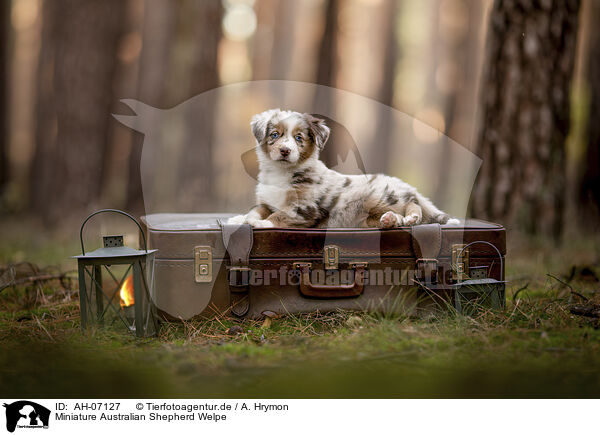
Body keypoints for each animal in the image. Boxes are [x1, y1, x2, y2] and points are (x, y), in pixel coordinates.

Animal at [227, 109, 458, 228]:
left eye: (298, 138)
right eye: (275, 134)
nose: (285, 150)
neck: (281, 172)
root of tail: (409, 187)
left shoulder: (305, 209)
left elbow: (280, 215)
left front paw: (263, 223)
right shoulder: (266, 202)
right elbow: (255, 210)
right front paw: (241, 218)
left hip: (382, 194)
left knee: (413, 205)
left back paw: (409, 217)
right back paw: (391, 220)